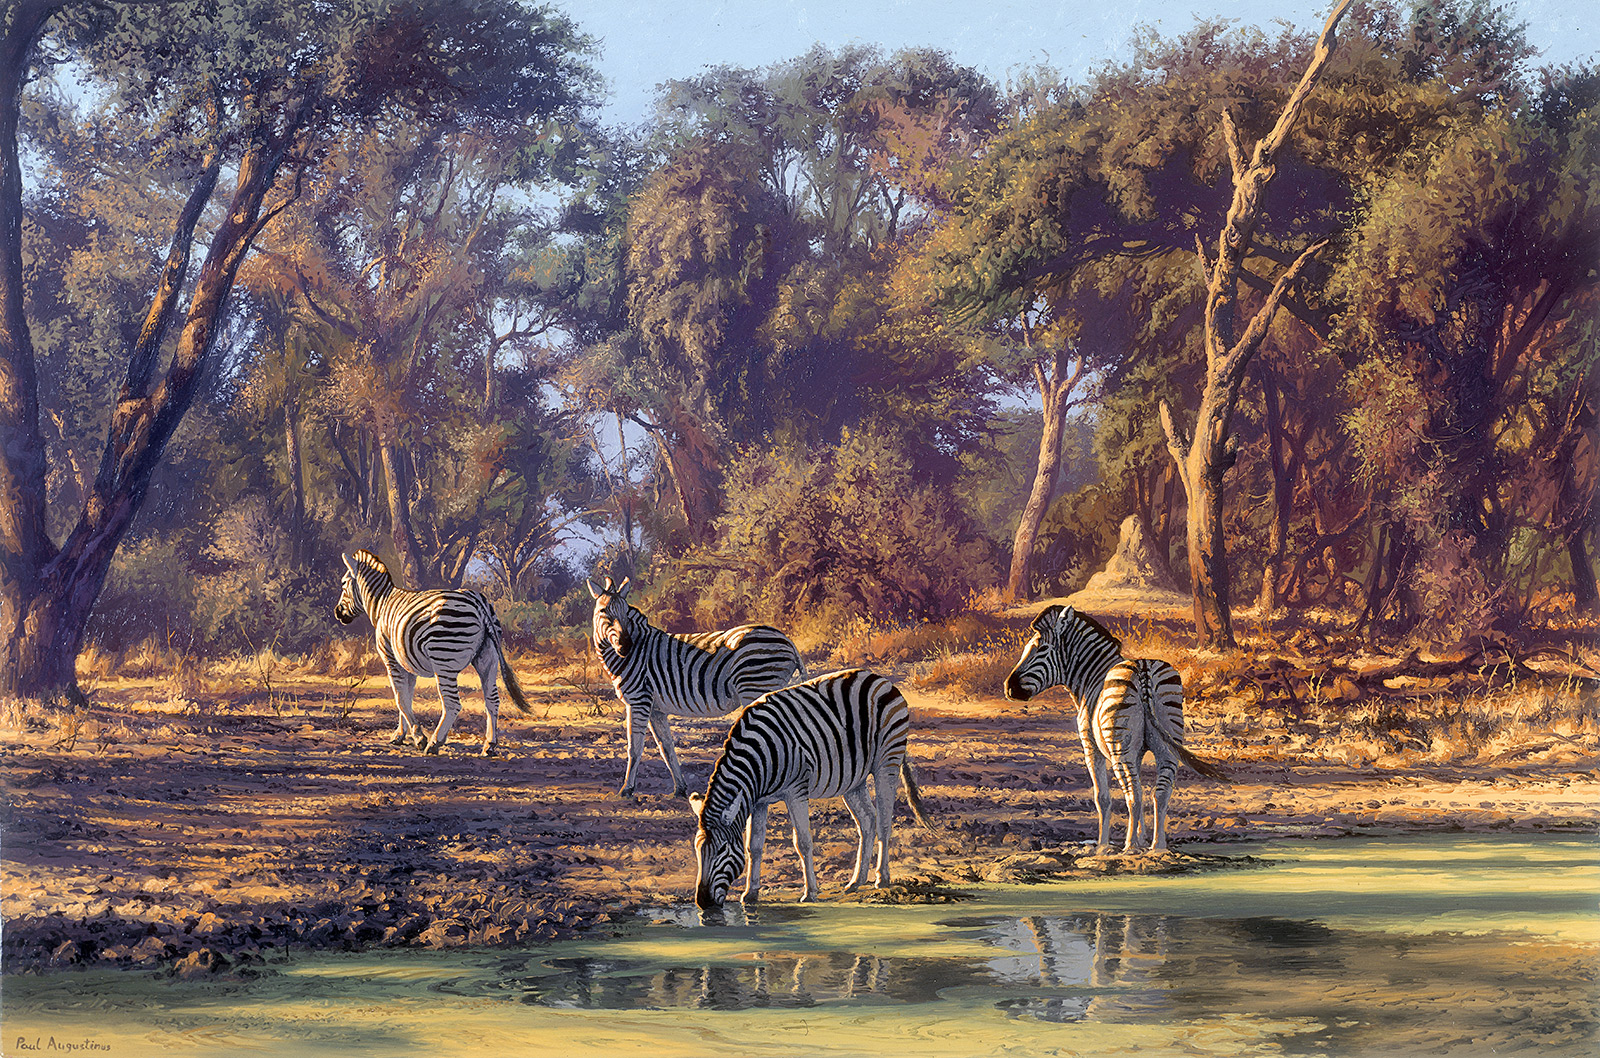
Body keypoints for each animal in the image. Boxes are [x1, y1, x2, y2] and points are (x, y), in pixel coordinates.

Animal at [335, 549, 531, 756]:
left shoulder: (391, 659)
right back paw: (489, 745)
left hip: (443, 658)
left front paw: (418, 737)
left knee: (452, 704)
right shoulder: (407, 664)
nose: (337, 613)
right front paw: (400, 735)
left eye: (343, 584)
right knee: (492, 699)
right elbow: (406, 698)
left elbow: (399, 699)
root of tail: (476, 599)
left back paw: (434, 743)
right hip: (488, 657)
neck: (381, 604)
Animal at [589, 576, 805, 798]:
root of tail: (788, 641)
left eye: (625, 613)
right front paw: (680, 788)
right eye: (603, 611)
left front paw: (626, 789)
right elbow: (666, 747)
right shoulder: (655, 708)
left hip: (755, 686)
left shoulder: (638, 700)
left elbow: (635, 747)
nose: (625, 646)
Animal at [688, 668, 932, 909]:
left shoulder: (796, 791)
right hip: (854, 779)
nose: (703, 903)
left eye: (722, 850)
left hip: (887, 760)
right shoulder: (759, 801)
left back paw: (882, 879)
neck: (758, 761)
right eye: (698, 851)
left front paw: (810, 893)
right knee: (867, 821)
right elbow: (753, 846)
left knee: (883, 822)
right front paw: (750, 894)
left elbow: (803, 842)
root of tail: (880, 678)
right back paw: (856, 881)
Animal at [1004, 605, 1225, 853]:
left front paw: (1103, 845)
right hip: (1166, 743)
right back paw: (1157, 845)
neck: (1091, 677)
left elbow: (1102, 797)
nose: (1008, 687)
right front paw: (1141, 838)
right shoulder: (1136, 752)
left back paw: (1128, 846)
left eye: (1041, 649)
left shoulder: (1090, 747)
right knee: (1159, 793)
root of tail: (1143, 669)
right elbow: (1139, 788)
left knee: (1133, 794)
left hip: (1120, 750)